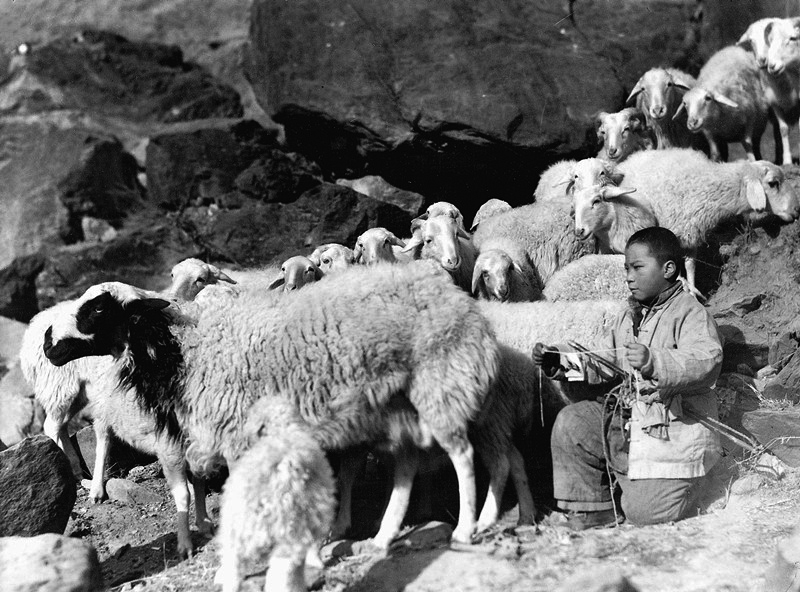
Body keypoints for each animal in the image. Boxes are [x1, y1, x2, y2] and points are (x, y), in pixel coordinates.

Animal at [41, 262, 501, 549]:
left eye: (97, 309)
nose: (48, 343)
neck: (185, 349)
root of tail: (455, 297)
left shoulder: (237, 432)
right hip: (400, 407)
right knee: (408, 467)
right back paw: (383, 537)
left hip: (440, 382)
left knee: (462, 454)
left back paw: (466, 529)